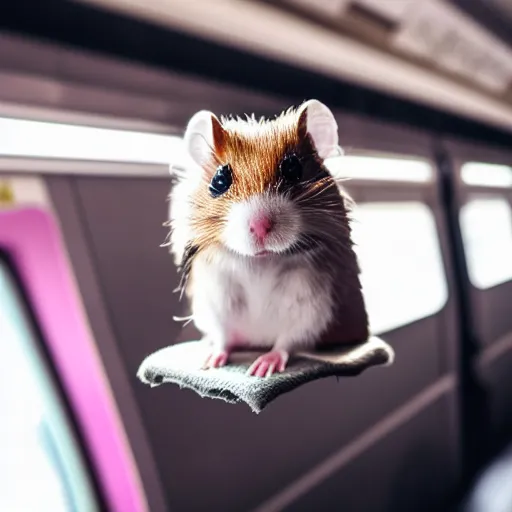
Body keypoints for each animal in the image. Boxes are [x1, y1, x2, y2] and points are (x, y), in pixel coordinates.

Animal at [168, 100, 368, 378]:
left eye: (293, 169)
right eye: (219, 180)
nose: (260, 226)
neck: (260, 262)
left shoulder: (312, 304)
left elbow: (288, 340)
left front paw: (260, 370)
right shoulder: (215, 298)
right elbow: (222, 337)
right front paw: (208, 362)